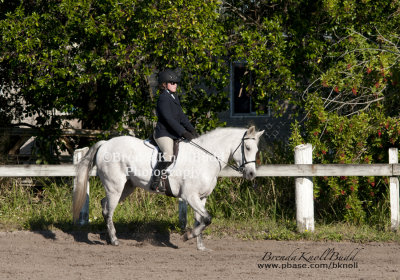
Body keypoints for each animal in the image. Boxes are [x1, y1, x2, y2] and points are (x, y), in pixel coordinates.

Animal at [73, 126, 264, 250]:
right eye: (247, 147)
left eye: (256, 150)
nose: (251, 174)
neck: (205, 158)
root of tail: (106, 143)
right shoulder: (190, 196)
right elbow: (207, 218)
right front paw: (187, 236)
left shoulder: (201, 198)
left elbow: (201, 220)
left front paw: (200, 246)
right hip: (115, 186)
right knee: (108, 210)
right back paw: (114, 240)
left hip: (126, 187)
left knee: (104, 204)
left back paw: (108, 238)